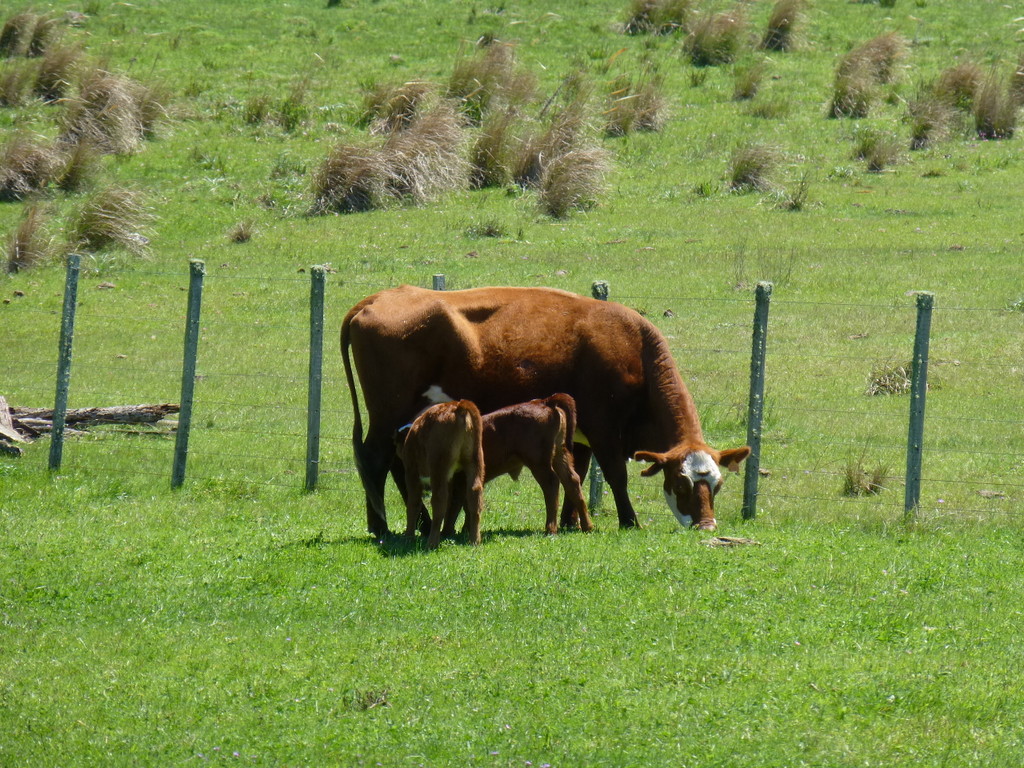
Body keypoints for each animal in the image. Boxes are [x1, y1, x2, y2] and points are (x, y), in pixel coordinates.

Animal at [395, 399, 483, 548]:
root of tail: (458, 406)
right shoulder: (450, 477)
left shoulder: (411, 473)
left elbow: (413, 504)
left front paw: (409, 536)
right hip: (474, 462)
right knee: (474, 494)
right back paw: (474, 540)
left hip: (438, 467)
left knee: (439, 501)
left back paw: (432, 542)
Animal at [440, 393, 593, 536]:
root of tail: (544, 402)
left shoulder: (460, 481)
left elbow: (457, 504)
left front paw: (449, 531)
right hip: (560, 455)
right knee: (572, 481)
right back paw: (587, 526)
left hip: (539, 462)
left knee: (552, 484)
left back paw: (550, 529)